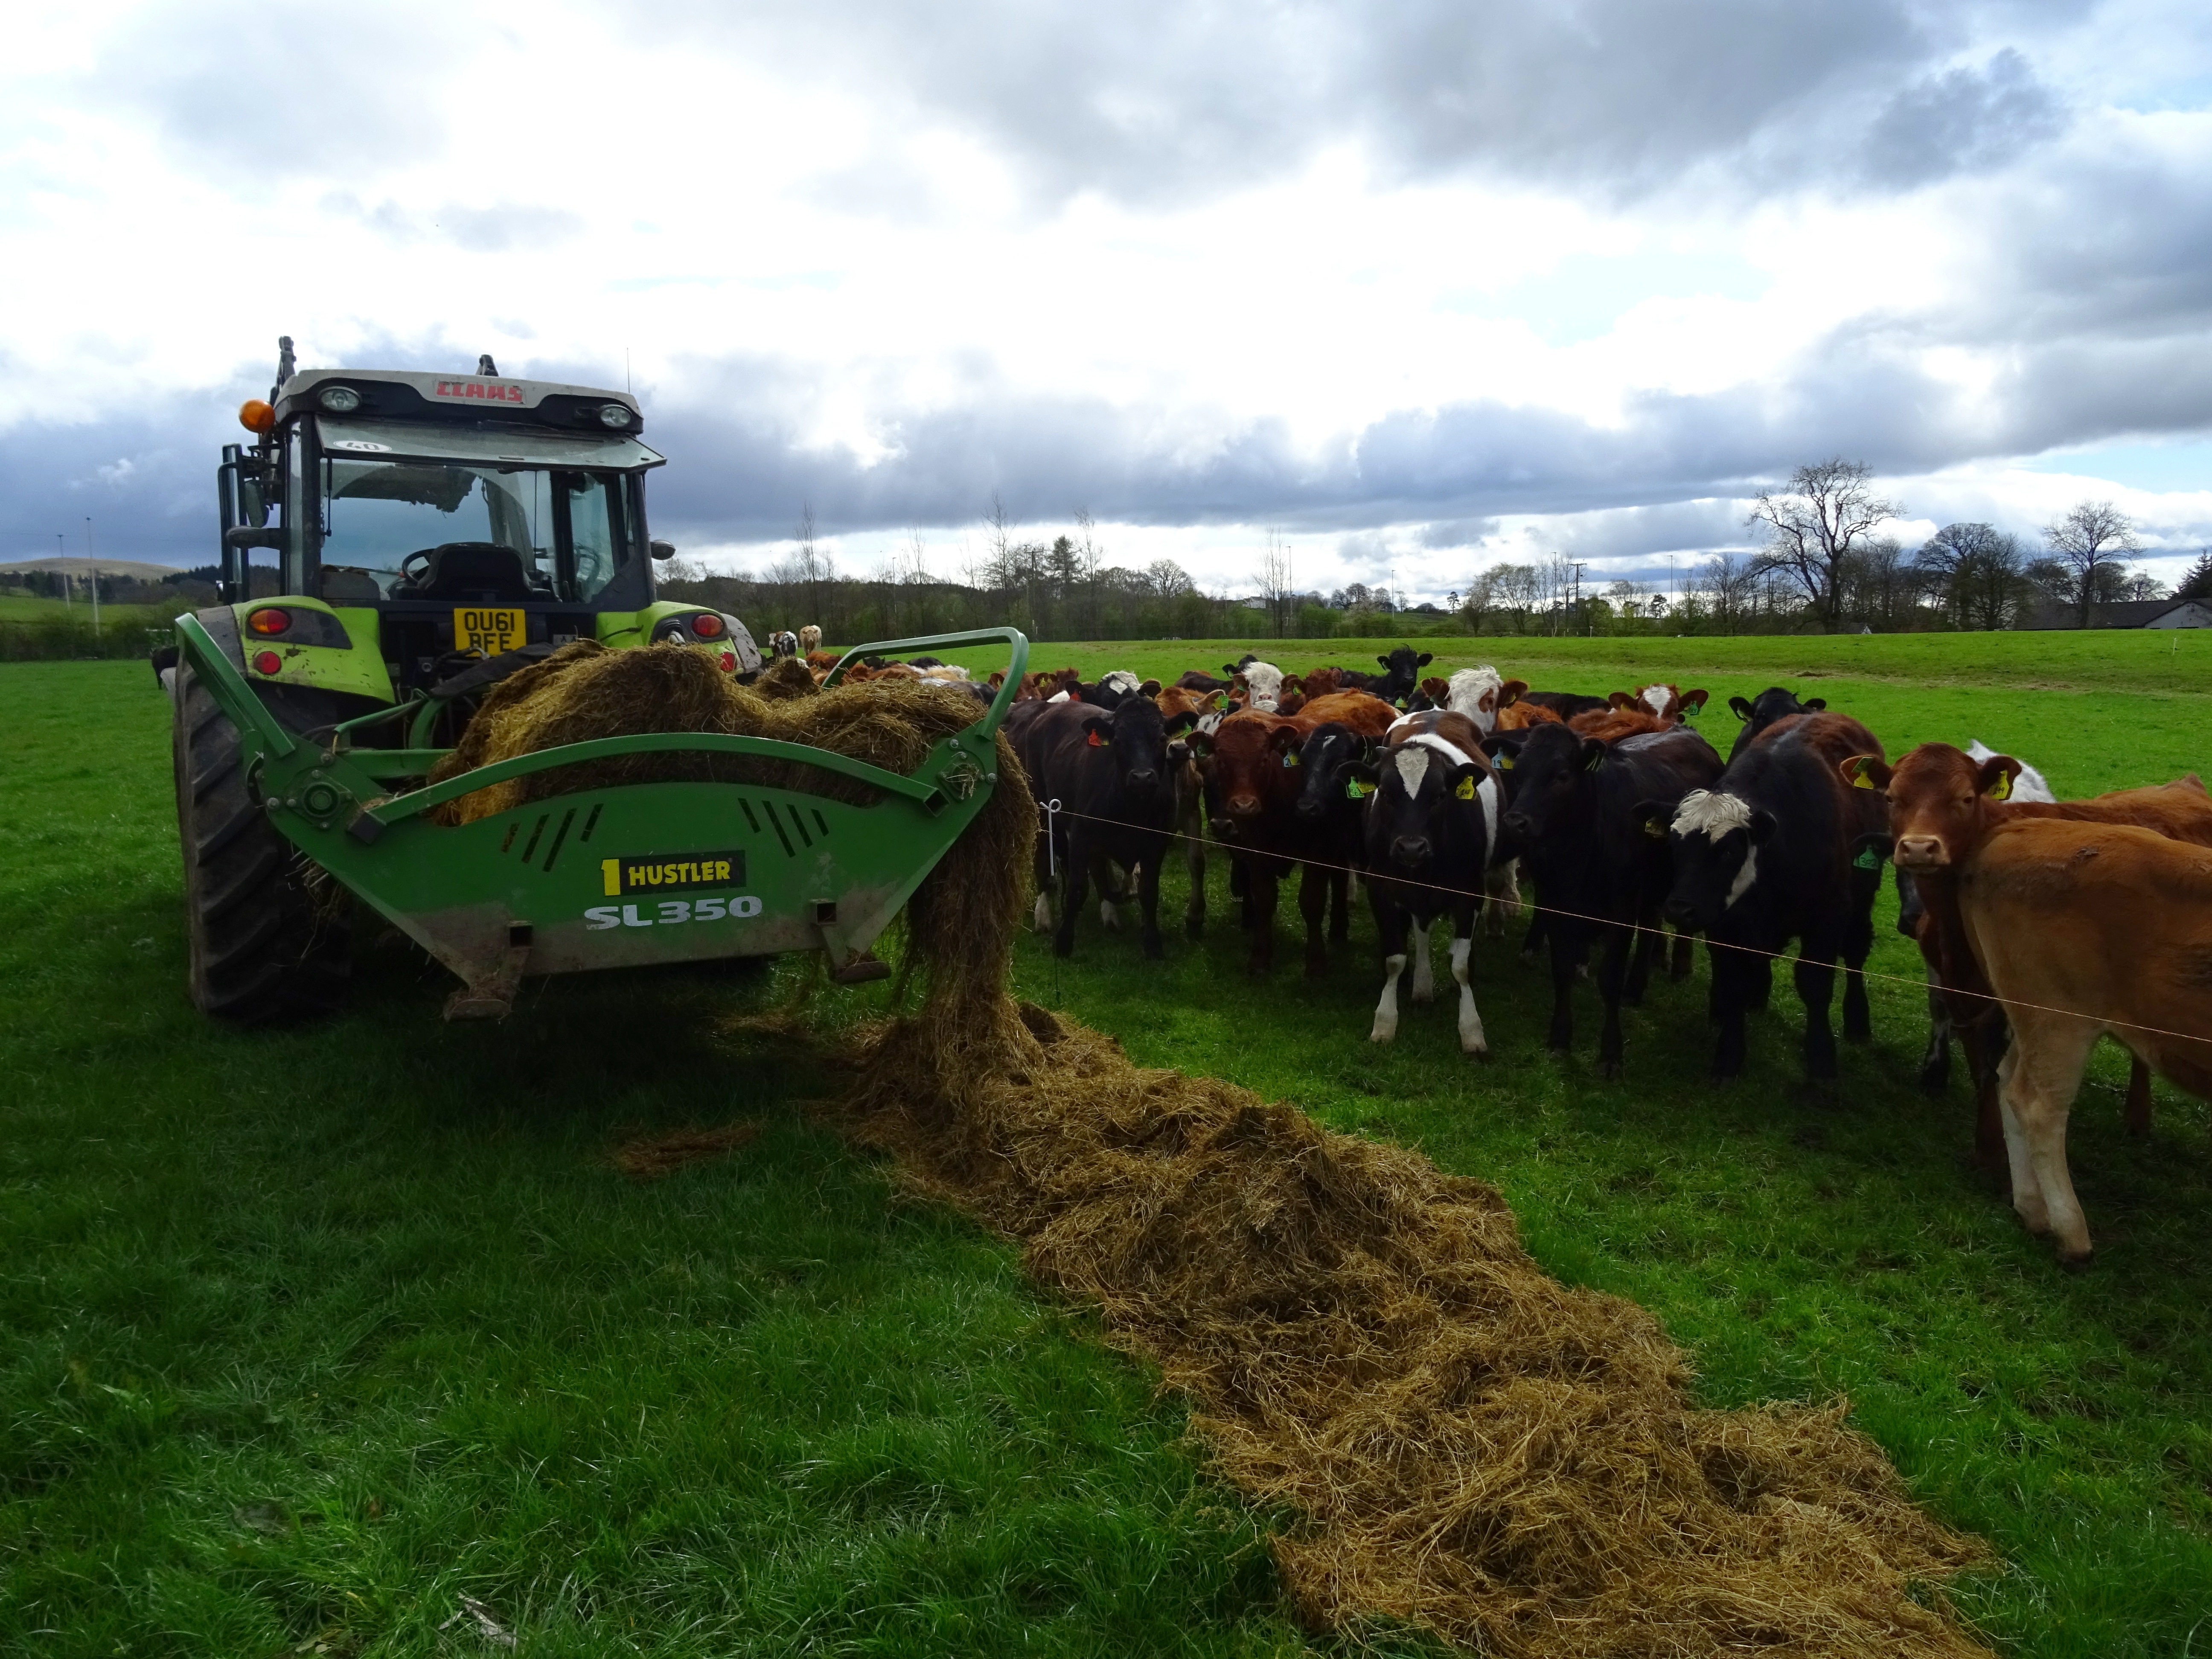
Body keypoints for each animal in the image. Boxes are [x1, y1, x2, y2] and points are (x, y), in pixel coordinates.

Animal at [1353, 721, 1495, 1057]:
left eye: (1440, 796)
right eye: (1386, 794)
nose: (1411, 848)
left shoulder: (1471, 893)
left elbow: (1460, 967)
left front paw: (1472, 1030)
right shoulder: (1380, 889)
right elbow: (1395, 960)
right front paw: (1384, 1023)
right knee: (1421, 932)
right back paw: (1422, 986)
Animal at [1495, 725, 1716, 1079]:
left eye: (1562, 775)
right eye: (1518, 772)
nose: (1515, 821)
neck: (1579, 852)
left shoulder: (1620, 913)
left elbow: (1610, 980)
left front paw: (1611, 1053)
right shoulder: (1556, 905)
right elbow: (1562, 970)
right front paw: (1560, 1038)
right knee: (1652, 922)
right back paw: (1636, 987)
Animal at [1955, 827, 2212, 1265]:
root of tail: (2011, 832)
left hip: (2029, 1018)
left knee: (2008, 1078)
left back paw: (2033, 1210)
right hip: (2059, 1021)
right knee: (2038, 1106)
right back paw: (2072, 1236)